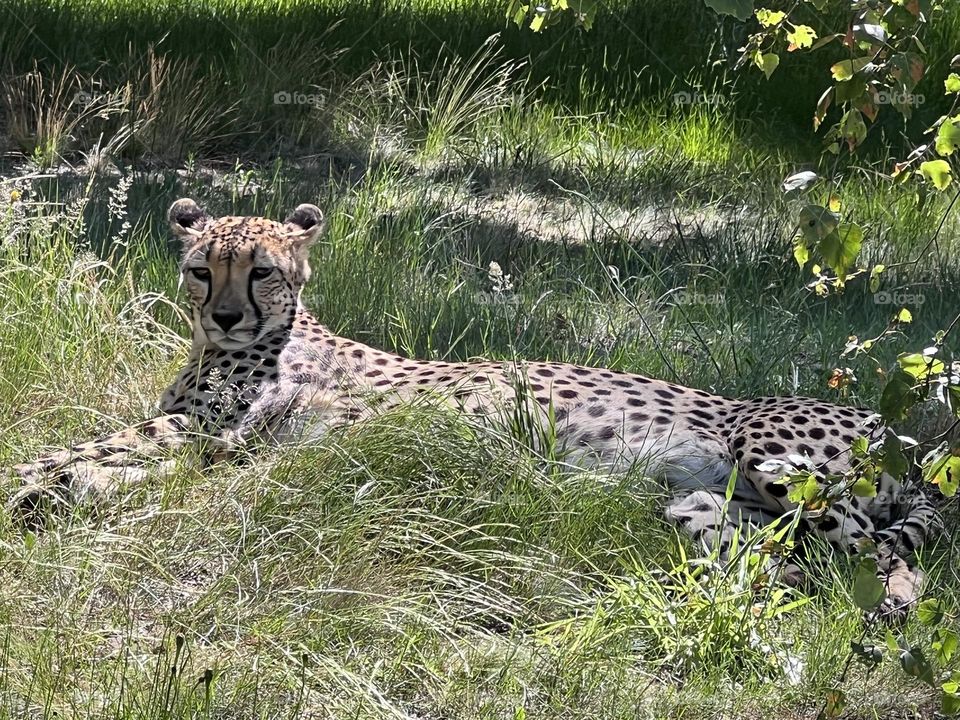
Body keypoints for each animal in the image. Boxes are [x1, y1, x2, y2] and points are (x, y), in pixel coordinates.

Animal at [8, 198, 941, 619]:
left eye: (262, 271)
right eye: (204, 271)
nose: (229, 315)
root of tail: (909, 437)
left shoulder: (214, 434)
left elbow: (85, 446)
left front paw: (35, 481)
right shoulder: (209, 438)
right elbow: (99, 456)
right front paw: (55, 492)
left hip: (775, 454)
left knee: (875, 551)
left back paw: (892, 605)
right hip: (721, 508)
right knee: (811, 557)